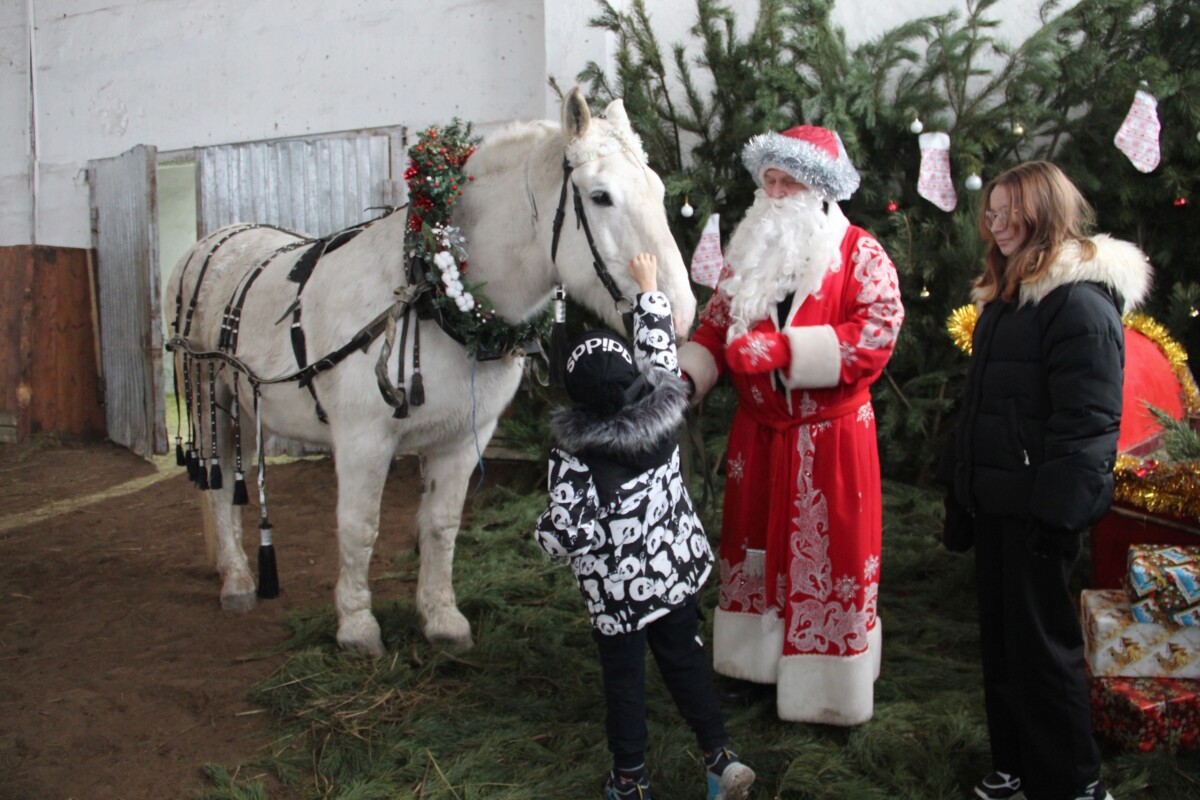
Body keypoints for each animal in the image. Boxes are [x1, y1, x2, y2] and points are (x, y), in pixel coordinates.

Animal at [164, 89, 700, 657]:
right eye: (600, 197)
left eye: (658, 189)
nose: (681, 313)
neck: (433, 292)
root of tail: (208, 244)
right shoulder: (363, 441)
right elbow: (359, 528)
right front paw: (357, 627)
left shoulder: (463, 438)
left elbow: (442, 525)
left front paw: (442, 619)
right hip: (210, 402)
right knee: (220, 483)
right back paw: (238, 580)